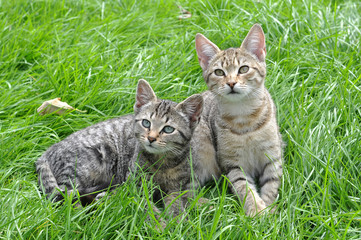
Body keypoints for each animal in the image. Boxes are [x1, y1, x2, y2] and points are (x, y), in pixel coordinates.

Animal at [36, 79, 204, 217]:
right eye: (146, 123)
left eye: (168, 129)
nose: (151, 138)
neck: (162, 162)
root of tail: (47, 152)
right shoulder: (135, 185)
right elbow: (145, 206)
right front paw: (159, 225)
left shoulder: (176, 188)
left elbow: (176, 204)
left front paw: (178, 222)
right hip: (87, 163)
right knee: (66, 195)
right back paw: (81, 213)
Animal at [195, 23, 282, 216]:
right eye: (219, 72)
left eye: (243, 69)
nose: (231, 83)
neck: (244, 118)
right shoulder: (233, 164)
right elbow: (244, 187)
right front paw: (257, 211)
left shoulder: (272, 155)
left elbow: (271, 185)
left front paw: (270, 210)